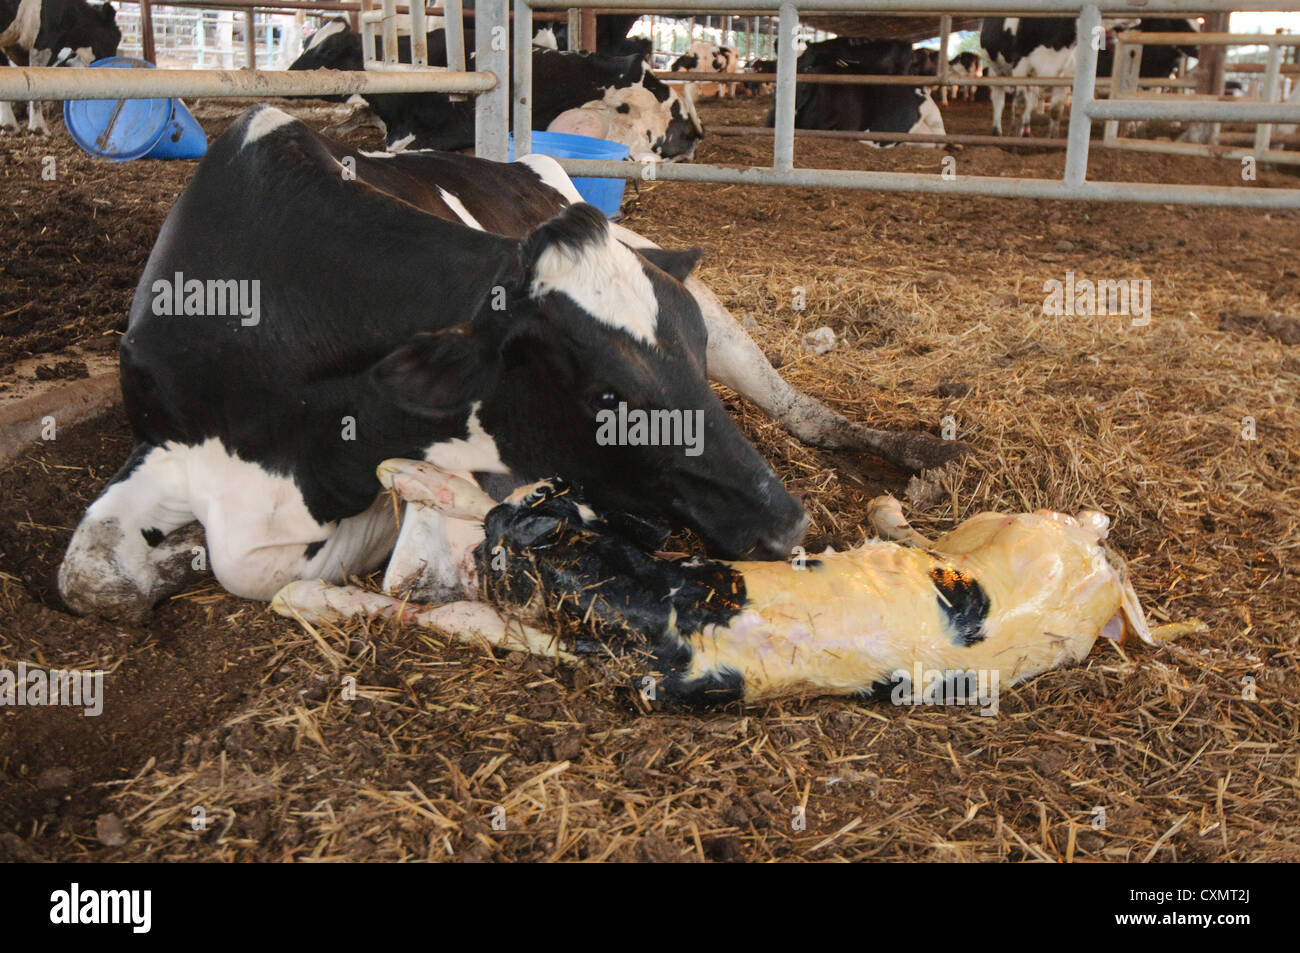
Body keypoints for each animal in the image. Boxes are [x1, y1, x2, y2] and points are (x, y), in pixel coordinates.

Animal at [55, 105, 812, 622]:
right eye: (607, 396)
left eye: (693, 358)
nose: (786, 521)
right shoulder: (166, 440)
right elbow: (91, 578)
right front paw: (175, 555)